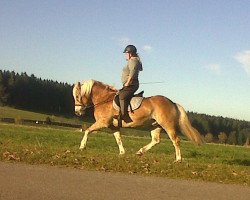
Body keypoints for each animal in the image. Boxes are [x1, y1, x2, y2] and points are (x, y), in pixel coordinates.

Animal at [72, 79, 203, 162]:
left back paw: (178, 159)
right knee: (156, 140)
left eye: (77, 96)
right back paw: (140, 151)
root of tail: (172, 103)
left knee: (176, 141)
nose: (77, 112)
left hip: (168, 126)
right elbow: (118, 139)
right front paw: (122, 153)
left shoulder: (102, 123)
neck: (104, 99)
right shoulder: (113, 126)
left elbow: (87, 131)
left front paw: (82, 146)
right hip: (155, 126)